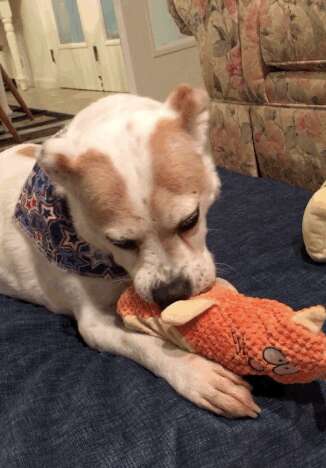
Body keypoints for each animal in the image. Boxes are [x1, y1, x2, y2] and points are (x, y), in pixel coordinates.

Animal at [0, 86, 260, 418]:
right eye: (120, 242)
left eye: (190, 220)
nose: (171, 294)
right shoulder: (95, 325)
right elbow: (143, 345)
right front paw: (197, 374)